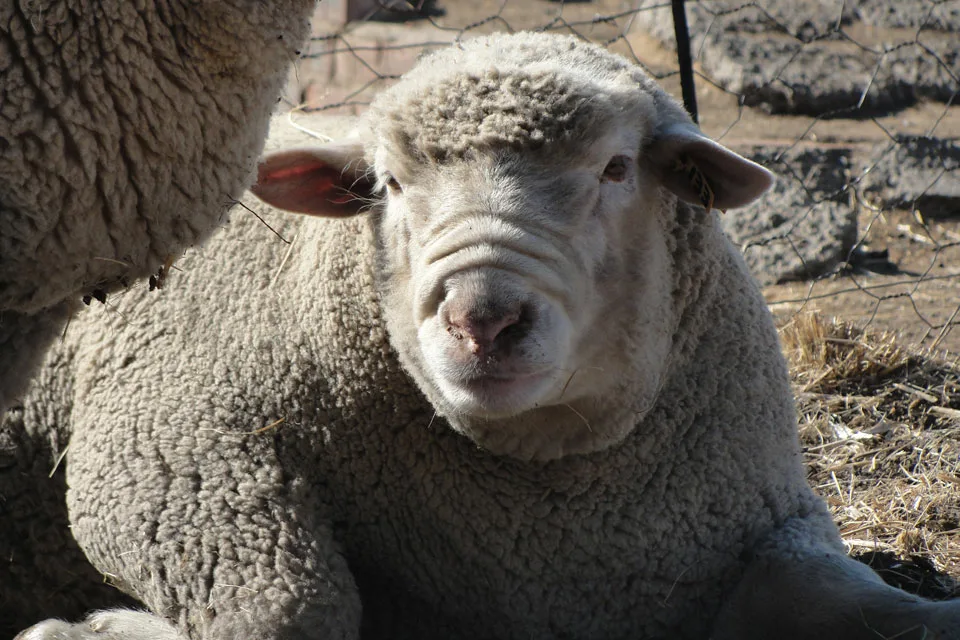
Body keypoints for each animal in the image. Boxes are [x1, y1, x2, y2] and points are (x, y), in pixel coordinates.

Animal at [11, 32, 960, 640]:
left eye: (617, 168)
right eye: (388, 183)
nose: (483, 318)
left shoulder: (767, 526)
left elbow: (851, 598)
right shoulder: (170, 447)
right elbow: (291, 610)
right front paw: (88, 629)